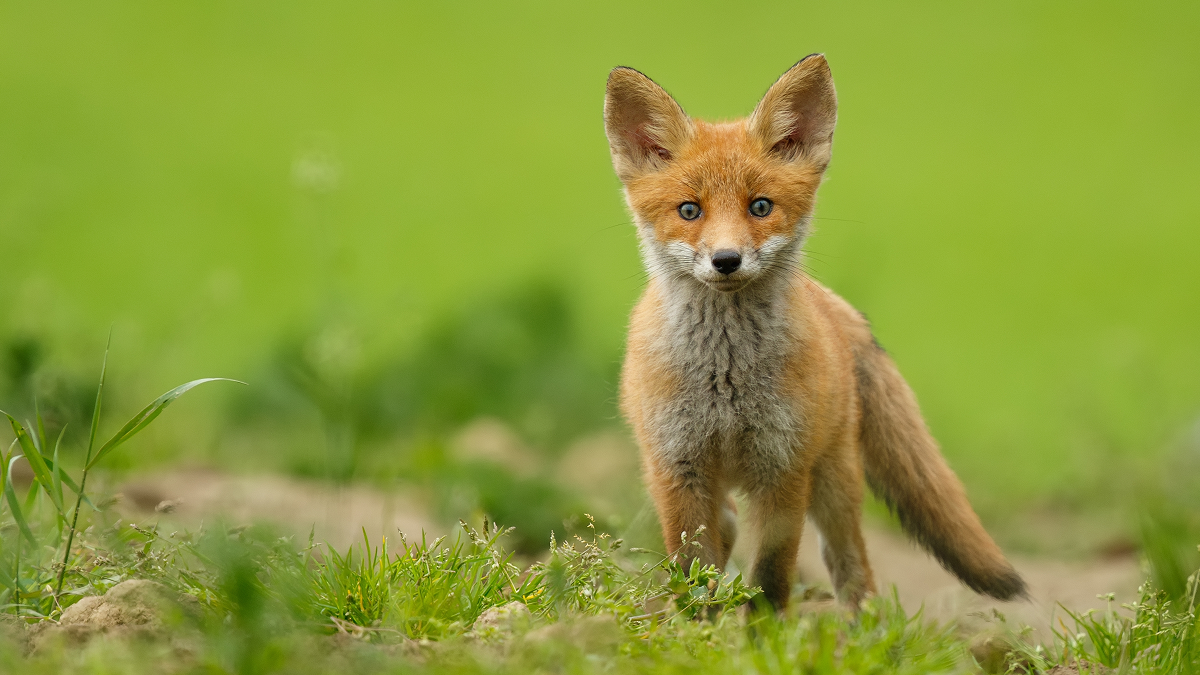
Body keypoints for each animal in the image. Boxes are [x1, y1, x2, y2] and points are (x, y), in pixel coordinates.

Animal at [605, 55, 1027, 611]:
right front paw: (700, 623)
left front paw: (765, 633)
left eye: (760, 207)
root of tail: (830, 304)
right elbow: (695, 576)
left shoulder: (783, 469)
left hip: (834, 481)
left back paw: (864, 625)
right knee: (728, 524)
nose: (726, 260)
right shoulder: (678, 468)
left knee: (852, 567)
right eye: (689, 211)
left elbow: (770, 580)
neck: (726, 377)